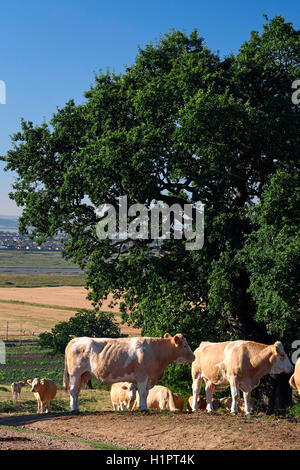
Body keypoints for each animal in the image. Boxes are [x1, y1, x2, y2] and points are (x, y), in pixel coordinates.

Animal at [63, 332, 195, 414]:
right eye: (185, 345)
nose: (194, 356)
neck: (155, 351)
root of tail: (76, 339)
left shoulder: (148, 378)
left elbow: (145, 394)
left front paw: (143, 406)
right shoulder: (142, 376)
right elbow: (142, 393)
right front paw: (143, 409)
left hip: (84, 375)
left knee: (77, 392)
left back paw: (76, 408)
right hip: (75, 374)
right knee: (73, 391)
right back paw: (73, 409)